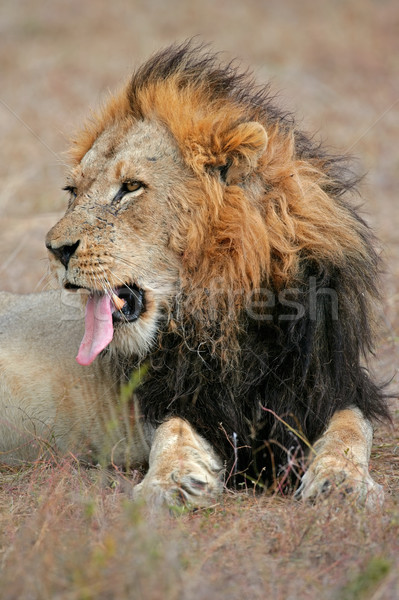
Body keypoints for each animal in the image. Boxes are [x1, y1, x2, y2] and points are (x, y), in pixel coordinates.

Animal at [0, 44, 390, 508]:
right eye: (73, 192)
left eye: (131, 187)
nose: (55, 250)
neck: (223, 310)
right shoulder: (177, 401)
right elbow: (172, 433)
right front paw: (171, 481)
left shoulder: (333, 386)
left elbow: (350, 429)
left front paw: (342, 481)